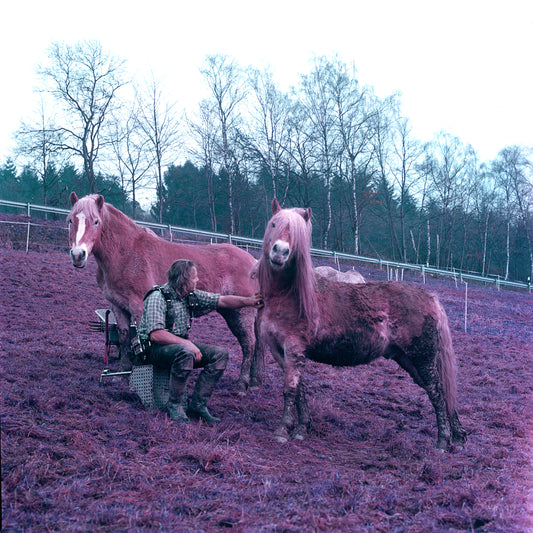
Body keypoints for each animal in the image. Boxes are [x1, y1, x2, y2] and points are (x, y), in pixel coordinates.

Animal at [68, 192, 264, 390]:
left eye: (96, 222)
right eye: (70, 220)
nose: (78, 255)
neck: (126, 254)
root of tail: (254, 262)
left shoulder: (139, 307)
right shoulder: (118, 306)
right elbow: (124, 338)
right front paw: (122, 374)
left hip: (241, 314)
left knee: (249, 344)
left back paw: (242, 385)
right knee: (257, 346)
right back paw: (255, 382)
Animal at [254, 197, 466, 450]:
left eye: (298, 235)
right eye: (274, 224)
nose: (280, 252)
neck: (289, 294)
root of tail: (430, 298)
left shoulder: (294, 349)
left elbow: (290, 390)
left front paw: (283, 430)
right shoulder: (282, 352)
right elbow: (300, 391)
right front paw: (302, 428)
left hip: (422, 359)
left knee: (437, 393)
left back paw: (443, 441)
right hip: (409, 360)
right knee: (442, 392)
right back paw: (457, 437)